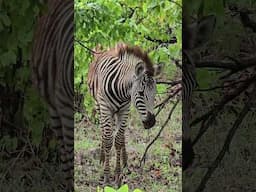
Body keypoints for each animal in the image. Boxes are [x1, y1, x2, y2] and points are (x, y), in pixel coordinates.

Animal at [88, 42, 160, 184]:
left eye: (154, 93)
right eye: (141, 93)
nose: (151, 122)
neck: (121, 91)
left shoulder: (125, 109)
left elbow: (119, 140)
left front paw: (117, 174)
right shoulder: (105, 108)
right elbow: (108, 139)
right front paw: (106, 175)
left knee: (121, 136)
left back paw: (125, 162)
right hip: (99, 106)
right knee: (103, 131)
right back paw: (102, 158)